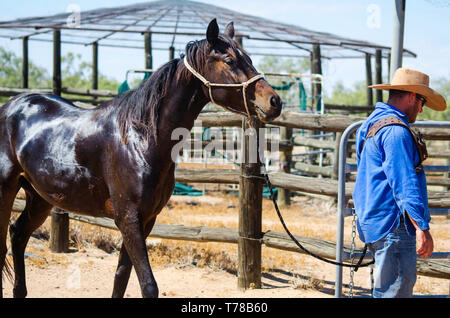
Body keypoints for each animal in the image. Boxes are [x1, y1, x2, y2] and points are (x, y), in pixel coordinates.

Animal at [0, 19, 282, 298]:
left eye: (249, 58)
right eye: (230, 60)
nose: (274, 101)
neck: (140, 139)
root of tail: (10, 106)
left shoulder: (146, 219)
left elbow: (121, 277)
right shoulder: (128, 219)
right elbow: (148, 284)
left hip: (40, 197)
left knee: (18, 235)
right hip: (8, 190)